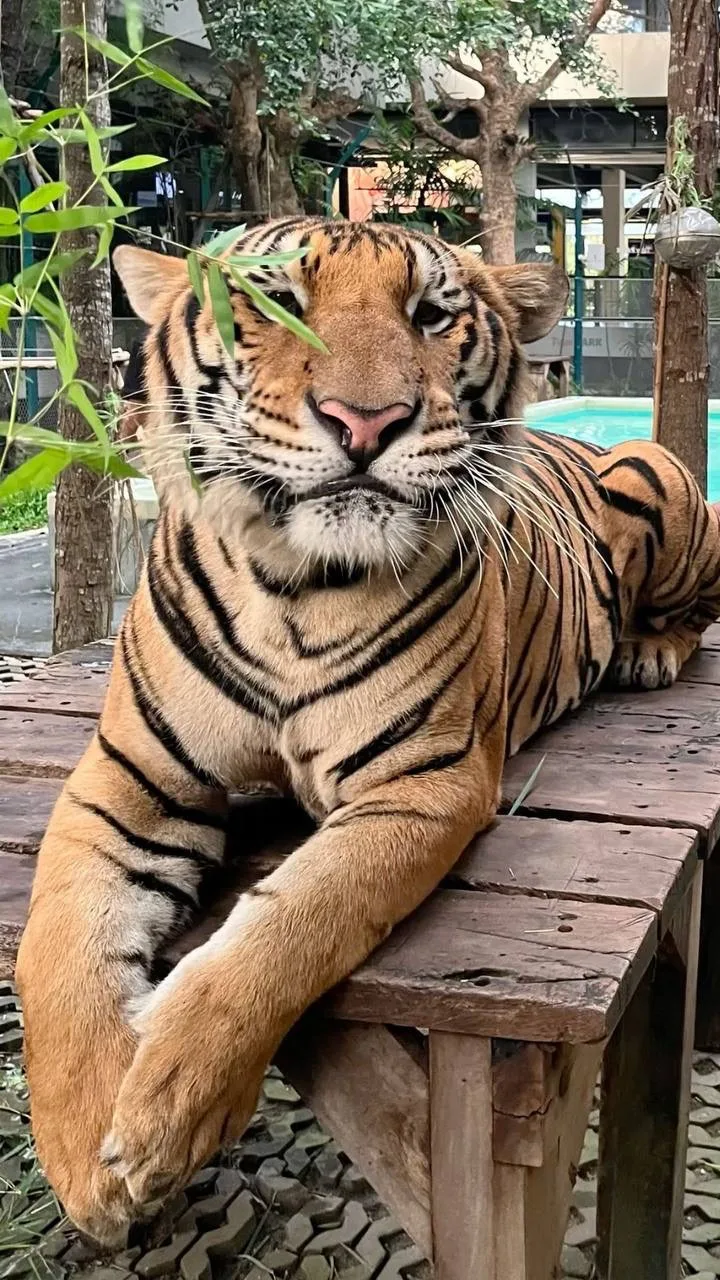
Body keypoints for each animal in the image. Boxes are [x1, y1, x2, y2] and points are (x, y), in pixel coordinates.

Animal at [16, 216, 720, 1243]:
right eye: (276, 304)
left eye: (430, 313)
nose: (365, 424)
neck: (289, 583)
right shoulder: (126, 777)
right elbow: (58, 946)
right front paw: (78, 1152)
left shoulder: (421, 784)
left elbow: (289, 927)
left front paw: (167, 1112)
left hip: (657, 477)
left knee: (696, 614)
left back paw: (647, 653)